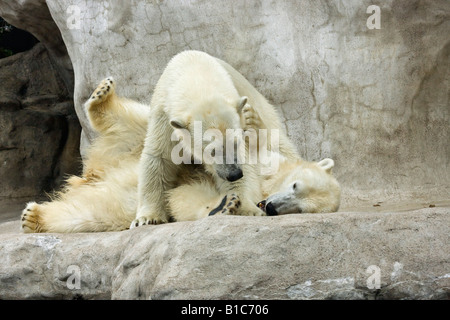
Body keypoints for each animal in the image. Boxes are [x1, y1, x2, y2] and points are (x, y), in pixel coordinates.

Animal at [20, 76, 338, 234]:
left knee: (92, 213)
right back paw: (101, 96)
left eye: (302, 209)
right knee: (140, 123)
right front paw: (248, 116)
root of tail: (93, 174)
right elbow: (262, 140)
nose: (272, 206)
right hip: (152, 131)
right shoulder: (266, 159)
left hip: (115, 198)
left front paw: (226, 204)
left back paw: (33, 216)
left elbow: (187, 197)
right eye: (295, 185)